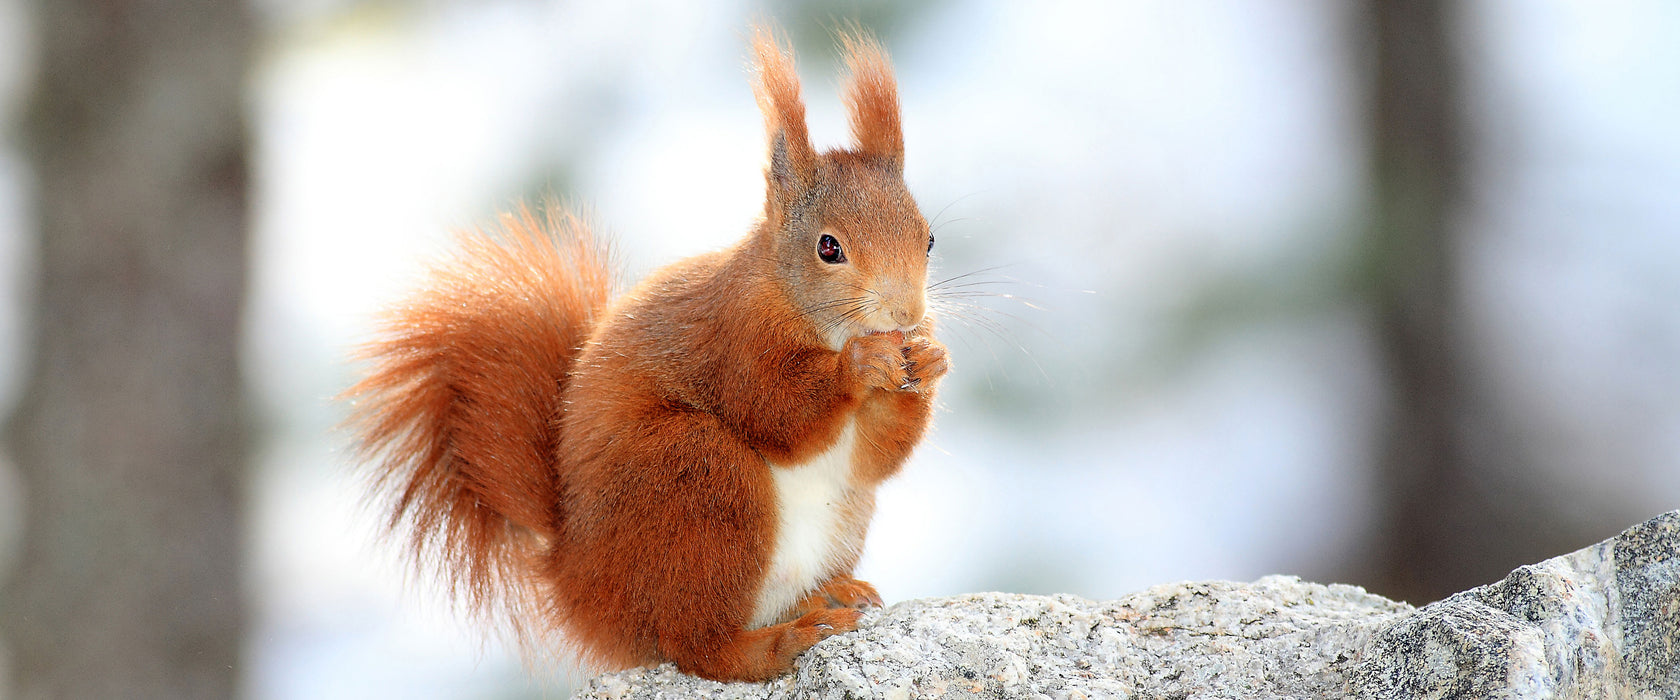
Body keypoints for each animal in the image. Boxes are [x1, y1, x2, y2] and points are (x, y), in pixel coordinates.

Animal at [341, 24, 947, 678]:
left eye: (929, 238)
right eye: (828, 248)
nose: (907, 315)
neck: (811, 315)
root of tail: (578, 586)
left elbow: (874, 459)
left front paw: (930, 360)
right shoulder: (734, 339)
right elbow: (777, 413)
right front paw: (859, 368)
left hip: (833, 516)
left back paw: (828, 595)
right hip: (695, 478)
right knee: (699, 645)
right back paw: (781, 641)